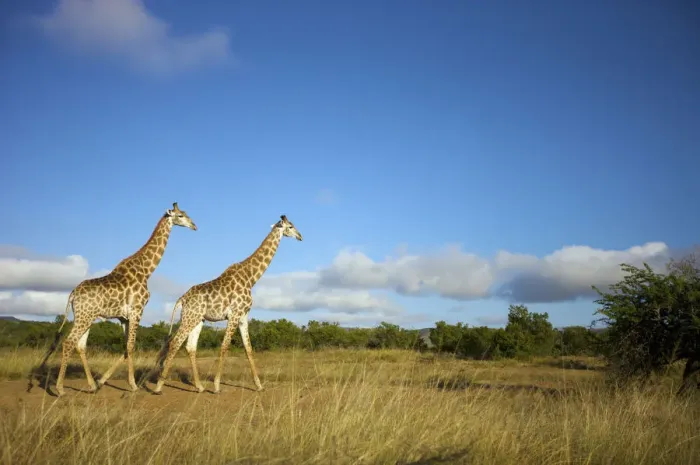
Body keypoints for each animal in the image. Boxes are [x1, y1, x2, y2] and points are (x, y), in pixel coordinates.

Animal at [53, 202, 197, 397]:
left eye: (185, 213)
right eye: (180, 215)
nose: (194, 226)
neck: (147, 270)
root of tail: (73, 293)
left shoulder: (124, 317)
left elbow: (125, 347)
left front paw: (103, 381)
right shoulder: (138, 311)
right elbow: (130, 346)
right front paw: (134, 386)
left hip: (85, 317)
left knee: (80, 345)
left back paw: (91, 385)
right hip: (85, 317)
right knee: (69, 342)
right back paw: (60, 389)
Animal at [153, 214, 303, 395]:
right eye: (291, 226)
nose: (300, 236)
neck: (251, 277)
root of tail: (182, 298)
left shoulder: (243, 316)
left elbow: (248, 348)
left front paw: (259, 386)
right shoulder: (234, 314)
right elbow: (224, 346)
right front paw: (217, 386)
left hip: (198, 319)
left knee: (190, 346)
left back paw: (199, 387)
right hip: (190, 318)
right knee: (175, 342)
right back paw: (159, 386)